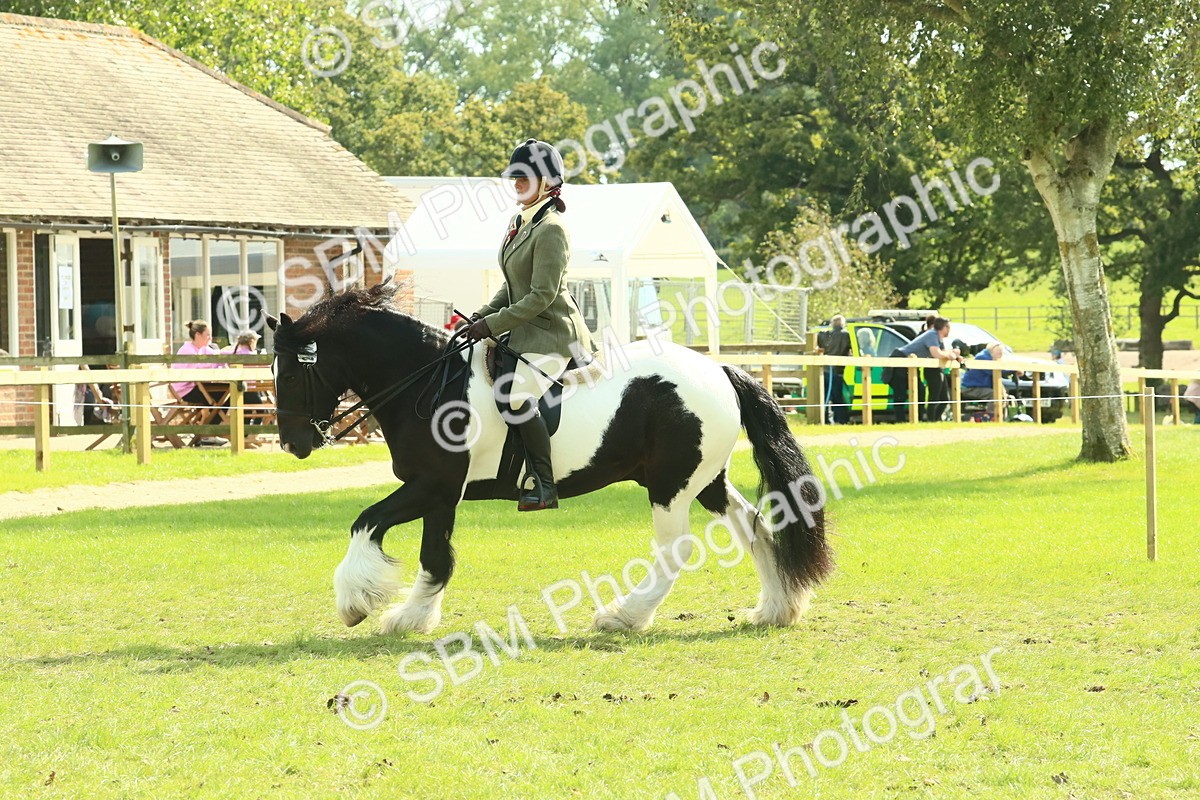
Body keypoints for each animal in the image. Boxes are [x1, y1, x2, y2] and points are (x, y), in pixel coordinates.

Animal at [267, 282, 832, 635]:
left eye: (291, 374)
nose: (294, 444)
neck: (429, 383)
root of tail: (720, 370)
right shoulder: (442, 494)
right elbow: (435, 558)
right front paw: (411, 618)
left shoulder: (430, 486)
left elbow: (366, 522)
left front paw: (355, 604)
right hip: (705, 480)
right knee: (755, 525)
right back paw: (776, 609)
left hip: (670, 486)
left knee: (677, 550)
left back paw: (622, 617)